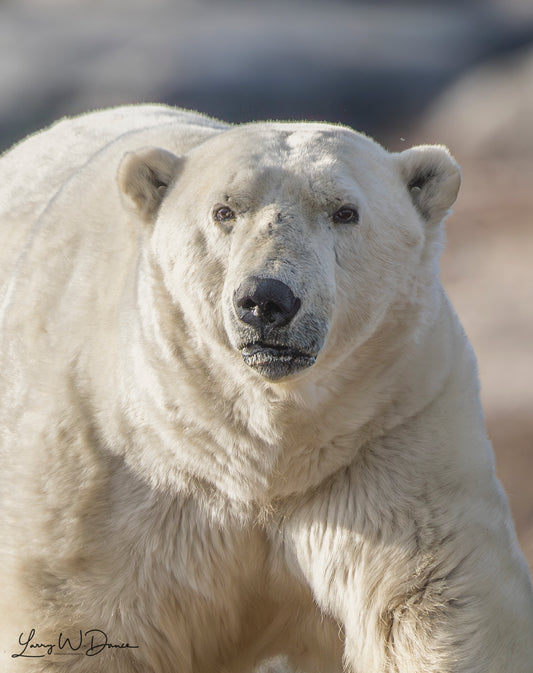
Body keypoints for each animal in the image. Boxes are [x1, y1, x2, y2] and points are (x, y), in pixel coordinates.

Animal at [0, 103, 532, 673]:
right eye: (224, 211)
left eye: (345, 212)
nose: (267, 299)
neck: (256, 450)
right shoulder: (110, 473)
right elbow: (79, 624)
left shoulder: (393, 436)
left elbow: (437, 602)